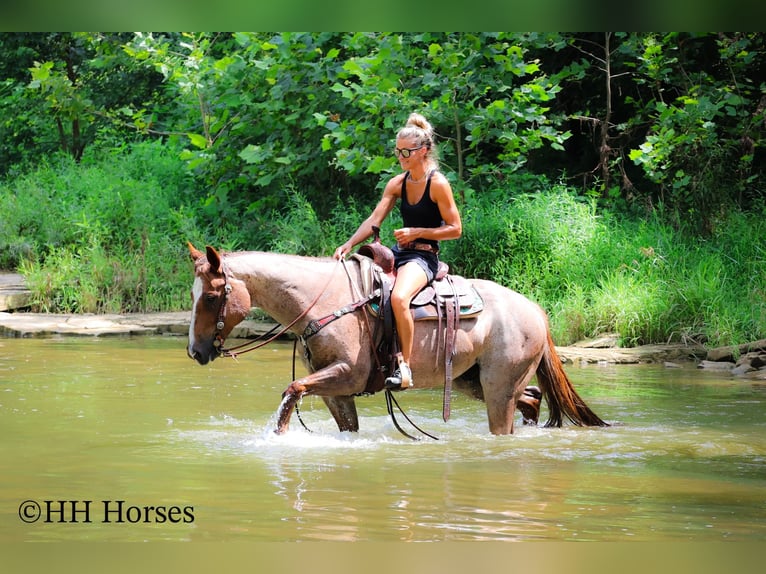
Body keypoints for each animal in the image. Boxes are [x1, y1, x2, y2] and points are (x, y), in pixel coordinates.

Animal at [186, 243, 608, 435]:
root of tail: (536, 310)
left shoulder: (346, 374)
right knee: (532, 398)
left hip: (497, 387)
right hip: (473, 381)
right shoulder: (336, 391)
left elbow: (291, 390)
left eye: (210, 297)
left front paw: (278, 438)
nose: (195, 351)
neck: (324, 302)